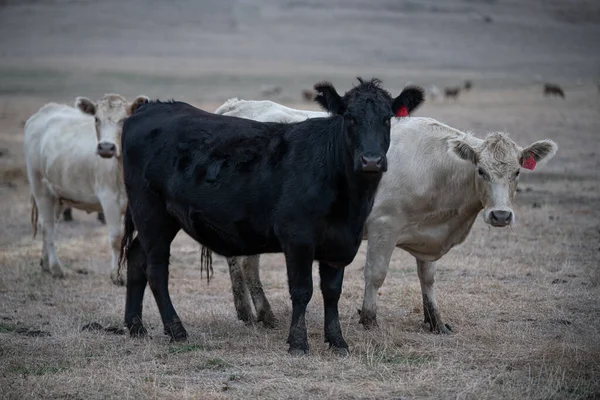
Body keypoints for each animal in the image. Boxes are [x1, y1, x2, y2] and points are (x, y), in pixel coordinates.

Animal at [24, 93, 149, 284]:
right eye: (97, 119)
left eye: (124, 120)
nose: (106, 147)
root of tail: (44, 110)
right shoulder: (109, 198)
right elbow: (116, 238)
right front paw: (116, 275)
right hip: (39, 185)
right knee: (47, 226)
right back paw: (56, 268)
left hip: (59, 194)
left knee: (49, 223)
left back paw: (45, 264)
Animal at [119, 78, 424, 356]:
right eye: (349, 117)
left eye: (387, 118)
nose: (371, 160)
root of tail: (151, 107)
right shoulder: (298, 238)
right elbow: (302, 290)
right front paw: (298, 343)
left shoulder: (339, 243)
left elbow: (331, 291)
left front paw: (337, 342)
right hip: (151, 213)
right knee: (156, 270)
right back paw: (176, 330)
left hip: (159, 220)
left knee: (136, 258)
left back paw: (136, 326)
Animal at [213, 98, 556, 332]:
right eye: (481, 171)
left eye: (516, 172)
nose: (500, 215)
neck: (437, 168)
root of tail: (238, 105)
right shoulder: (384, 226)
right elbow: (375, 273)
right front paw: (369, 318)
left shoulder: (428, 234)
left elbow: (428, 277)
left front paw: (436, 321)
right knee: (246, 265)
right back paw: (264, 314)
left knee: (241, 263)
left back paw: (249, 313)